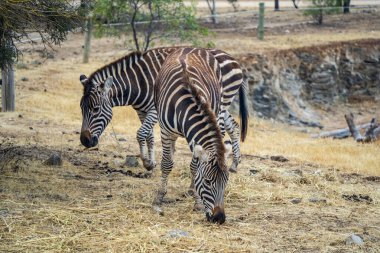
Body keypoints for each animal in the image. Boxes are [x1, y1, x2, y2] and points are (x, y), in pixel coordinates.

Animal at [78, 46, 248, 173]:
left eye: (95, 109)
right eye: (81, 108)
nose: (84, 141)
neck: (138, 81)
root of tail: (235, 60)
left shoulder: (154, 110)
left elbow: (141, 133)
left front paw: (147, 162)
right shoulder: (141, 110)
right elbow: (149, 136)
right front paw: (152, 162)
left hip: (222, 102)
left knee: (221, 130)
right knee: (234, 126)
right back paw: (234, 164)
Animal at [153, 47, 230, 223]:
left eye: (226, 182)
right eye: (208, 181)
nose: (219, 218)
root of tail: (190, 47)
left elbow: (194, 168)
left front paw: (197, 201)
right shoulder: (165, 131)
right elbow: (166, 164)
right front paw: (159, 197)